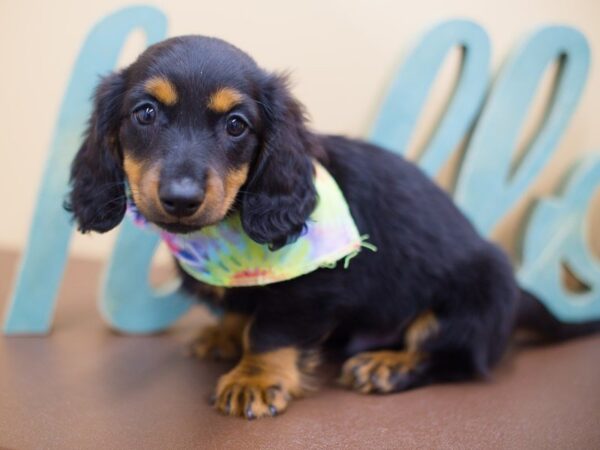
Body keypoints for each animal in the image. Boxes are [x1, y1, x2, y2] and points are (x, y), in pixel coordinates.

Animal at [65, 36, 600, 418]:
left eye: (236, 124)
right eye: (145, 113)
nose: (180, 199)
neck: (227, 234)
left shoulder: (315, 289)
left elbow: (271, 330)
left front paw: (255, 378)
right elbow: (243, 312)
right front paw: (226, 334)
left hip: (481, 288)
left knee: (455, 354)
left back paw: (390, 364)